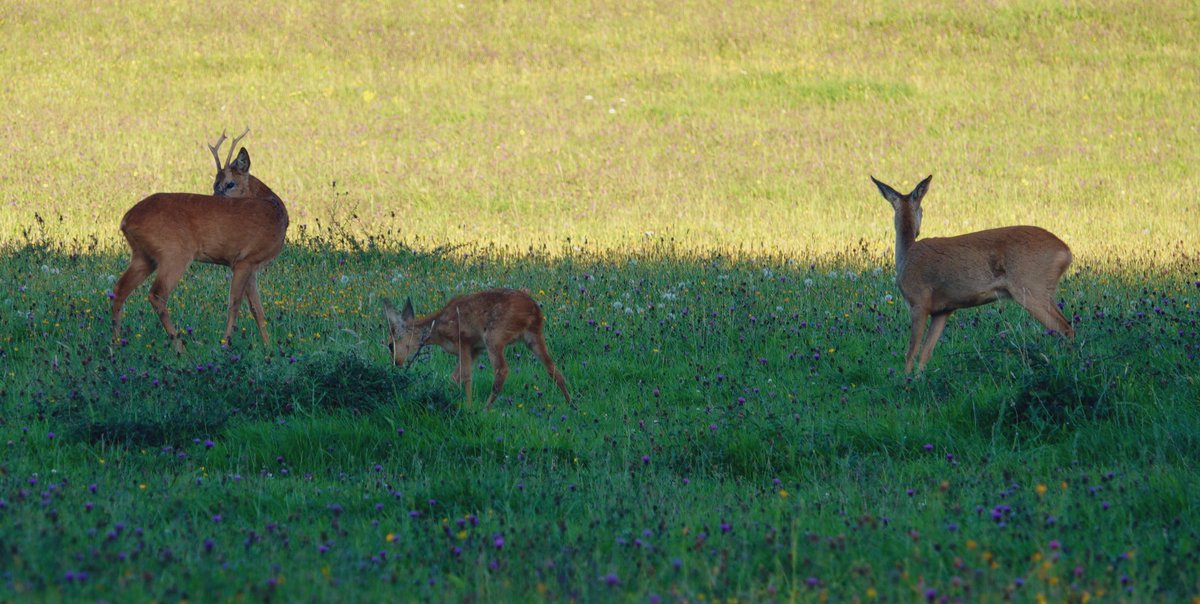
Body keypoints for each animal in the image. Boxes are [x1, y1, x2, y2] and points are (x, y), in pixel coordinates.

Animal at [112, 129, 290, 353]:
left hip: (143, 256)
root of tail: (126, 220)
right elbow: (234, 304)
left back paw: (116, 343)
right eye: (215, 184)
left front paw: (268, 347)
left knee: (120, 289)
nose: (215, 197)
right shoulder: (244, 260)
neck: (276, 213)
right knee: (157, 294)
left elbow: (257, 308)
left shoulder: (252, 265)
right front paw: (225, 343)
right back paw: (180, 346)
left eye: (229, 184)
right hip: (174, 253)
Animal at [384, 289, 571, 410]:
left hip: (494, 336)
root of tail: (534, 310)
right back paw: (570, 403)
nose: (396, 363)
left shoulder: (464, 341)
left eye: (390, 345)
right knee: (552, 368)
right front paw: (445, 396)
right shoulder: (476, 349)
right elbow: (455, 376)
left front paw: (468, 406)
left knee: (502, 370)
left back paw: (485, 408)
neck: (436, 329)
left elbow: (466, 376)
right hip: (533, 336)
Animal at [868, 175, 1075, 374]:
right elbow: (926, 354)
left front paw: (905, 382)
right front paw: (919, 380)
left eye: (922, 210)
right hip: (1042, 291)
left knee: (1065, 328)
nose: (918, 231)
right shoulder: (943, 310)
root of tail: (1066, 251)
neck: (906, 255)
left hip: (1032, 288)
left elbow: (911, 352)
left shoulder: (919, 303)